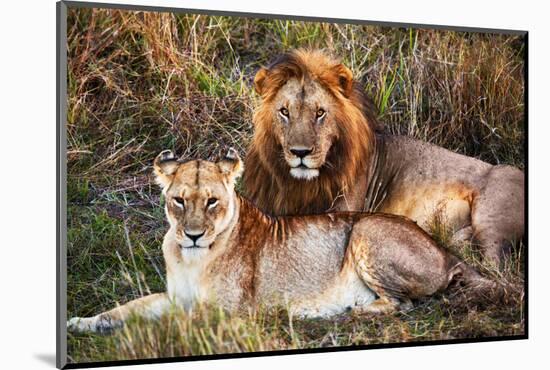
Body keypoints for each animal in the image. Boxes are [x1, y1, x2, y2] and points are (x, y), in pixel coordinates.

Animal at [68, 149, 496, 334]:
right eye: (179, 201)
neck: (191, 258)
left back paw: (343, 311)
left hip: (364, 230)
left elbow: (178, 322)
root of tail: (446, 252)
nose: (192, 234)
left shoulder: (231, 312)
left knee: (402, 305)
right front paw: (82, 322)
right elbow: (128, 307)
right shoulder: (174, 296)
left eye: (212, 201)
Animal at [246, 49, 528, 268]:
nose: (300, 153)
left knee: (495, 265)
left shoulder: (344, 210)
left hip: (493, 211)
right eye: (284, 112)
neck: (299, 184)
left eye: (320, 113)